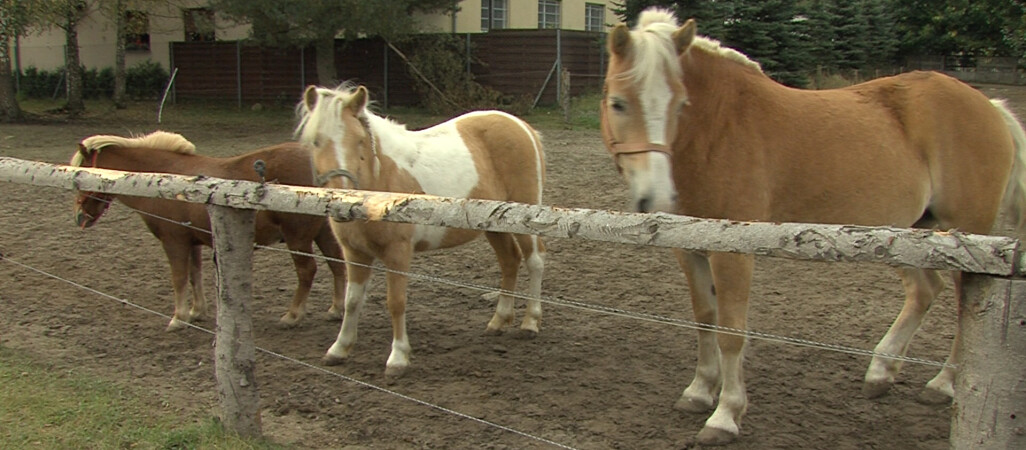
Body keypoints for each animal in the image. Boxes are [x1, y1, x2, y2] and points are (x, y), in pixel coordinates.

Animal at [71, 130, 348, 332]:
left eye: (83, 174)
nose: (80, 217)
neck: (163, 180)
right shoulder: (191, 241)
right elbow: (194, 275)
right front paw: (196, 312)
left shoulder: (174, 241)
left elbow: (179, 277)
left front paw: (178, 318)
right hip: (323, 233)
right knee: (337, 265)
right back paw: (336, 309)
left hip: (297, 236)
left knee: (307, 271)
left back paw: (292, 316)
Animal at [293, 82, 549, 377]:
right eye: (315, 141)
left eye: (358, 140)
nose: (343, 201)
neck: (381, 183)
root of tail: (522, 126)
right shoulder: (354, 253)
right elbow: (352, 301)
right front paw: (339, 349)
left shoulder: (398, 253)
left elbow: (396, 302)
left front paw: (398, 358)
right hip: (495, 225)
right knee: (509, 261)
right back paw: (498, 321)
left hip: (524, 218)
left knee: (534, 260)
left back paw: (530, 323)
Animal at [599, 7, 1026, 446]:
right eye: (618, 103)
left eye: (681, 104)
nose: (656, 199)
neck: (718, 128)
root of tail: (989, 105)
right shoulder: (689, 249)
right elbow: (704, 319)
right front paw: (700, 392)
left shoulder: (733, 252)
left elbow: (731, 331)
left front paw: (725, 415)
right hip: (908, 233)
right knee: (925, 292)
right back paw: (881, 372)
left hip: (967, 238)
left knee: (963, 312)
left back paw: (942, 385)